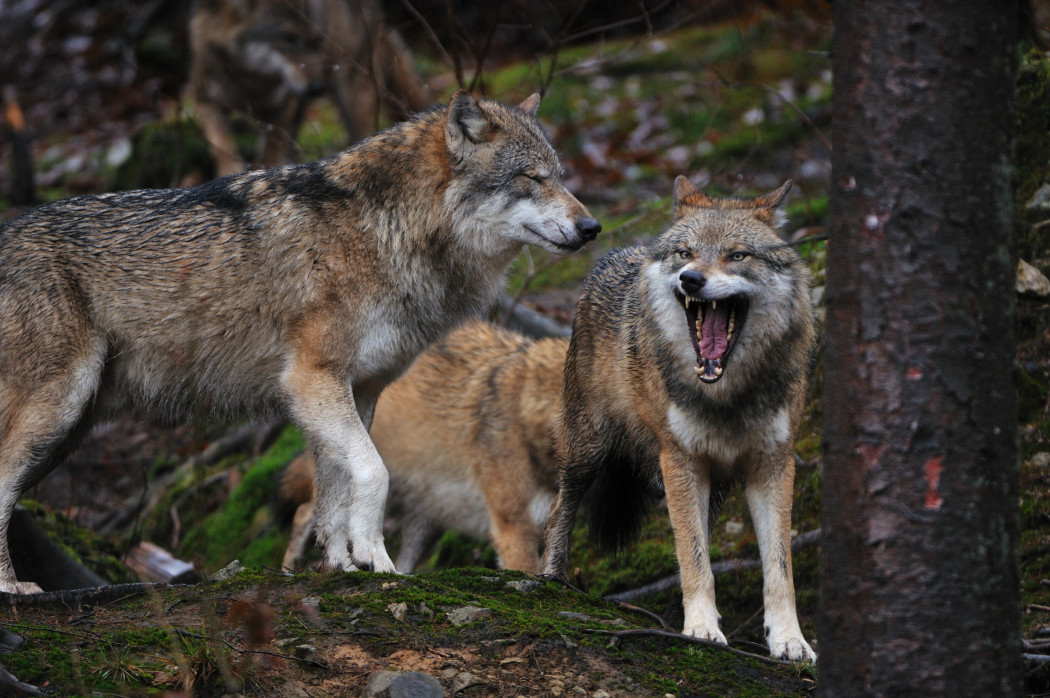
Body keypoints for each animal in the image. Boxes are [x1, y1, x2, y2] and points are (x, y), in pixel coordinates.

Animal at [189, 0, 428, 176]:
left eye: (316, 41)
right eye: (288, 39)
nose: (316, 88)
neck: (249, 80)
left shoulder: (283, 108)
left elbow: (267, 156)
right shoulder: (203, 100)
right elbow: (222, 147)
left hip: (354, 95)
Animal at [541, 177, 816, 662]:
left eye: (737, 255)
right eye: (685, 253)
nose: (691, 278)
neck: (726, 393)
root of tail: (616, 253)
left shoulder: (773, 466)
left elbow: (779, 568)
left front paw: (789, 640)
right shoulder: (680, 461)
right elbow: (694, 558)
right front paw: (702, 628)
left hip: (715, 485)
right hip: (588, 450)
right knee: (557, 511)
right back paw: (552, 579)